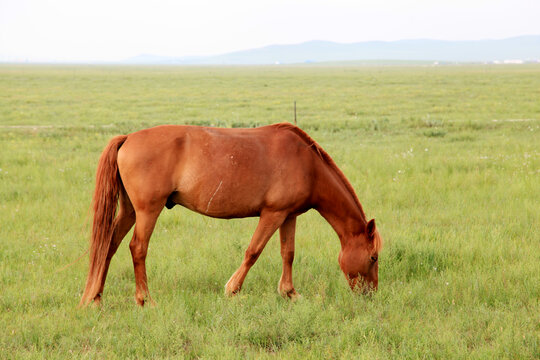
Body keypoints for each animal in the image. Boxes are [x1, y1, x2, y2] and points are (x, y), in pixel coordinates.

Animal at [80, 122, 384, 306]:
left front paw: (290, 293)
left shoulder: (288, 216)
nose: (371, 295)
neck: (307, 163)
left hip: (129, 211)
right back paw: (144, 299)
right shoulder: (272, 214)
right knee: (138, 248)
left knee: (109, 246)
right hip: (147, 211)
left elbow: (288, 253)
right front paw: (233, 289)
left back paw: (95, 297)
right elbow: (253, 251)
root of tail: (128, 138)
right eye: (373, 257)